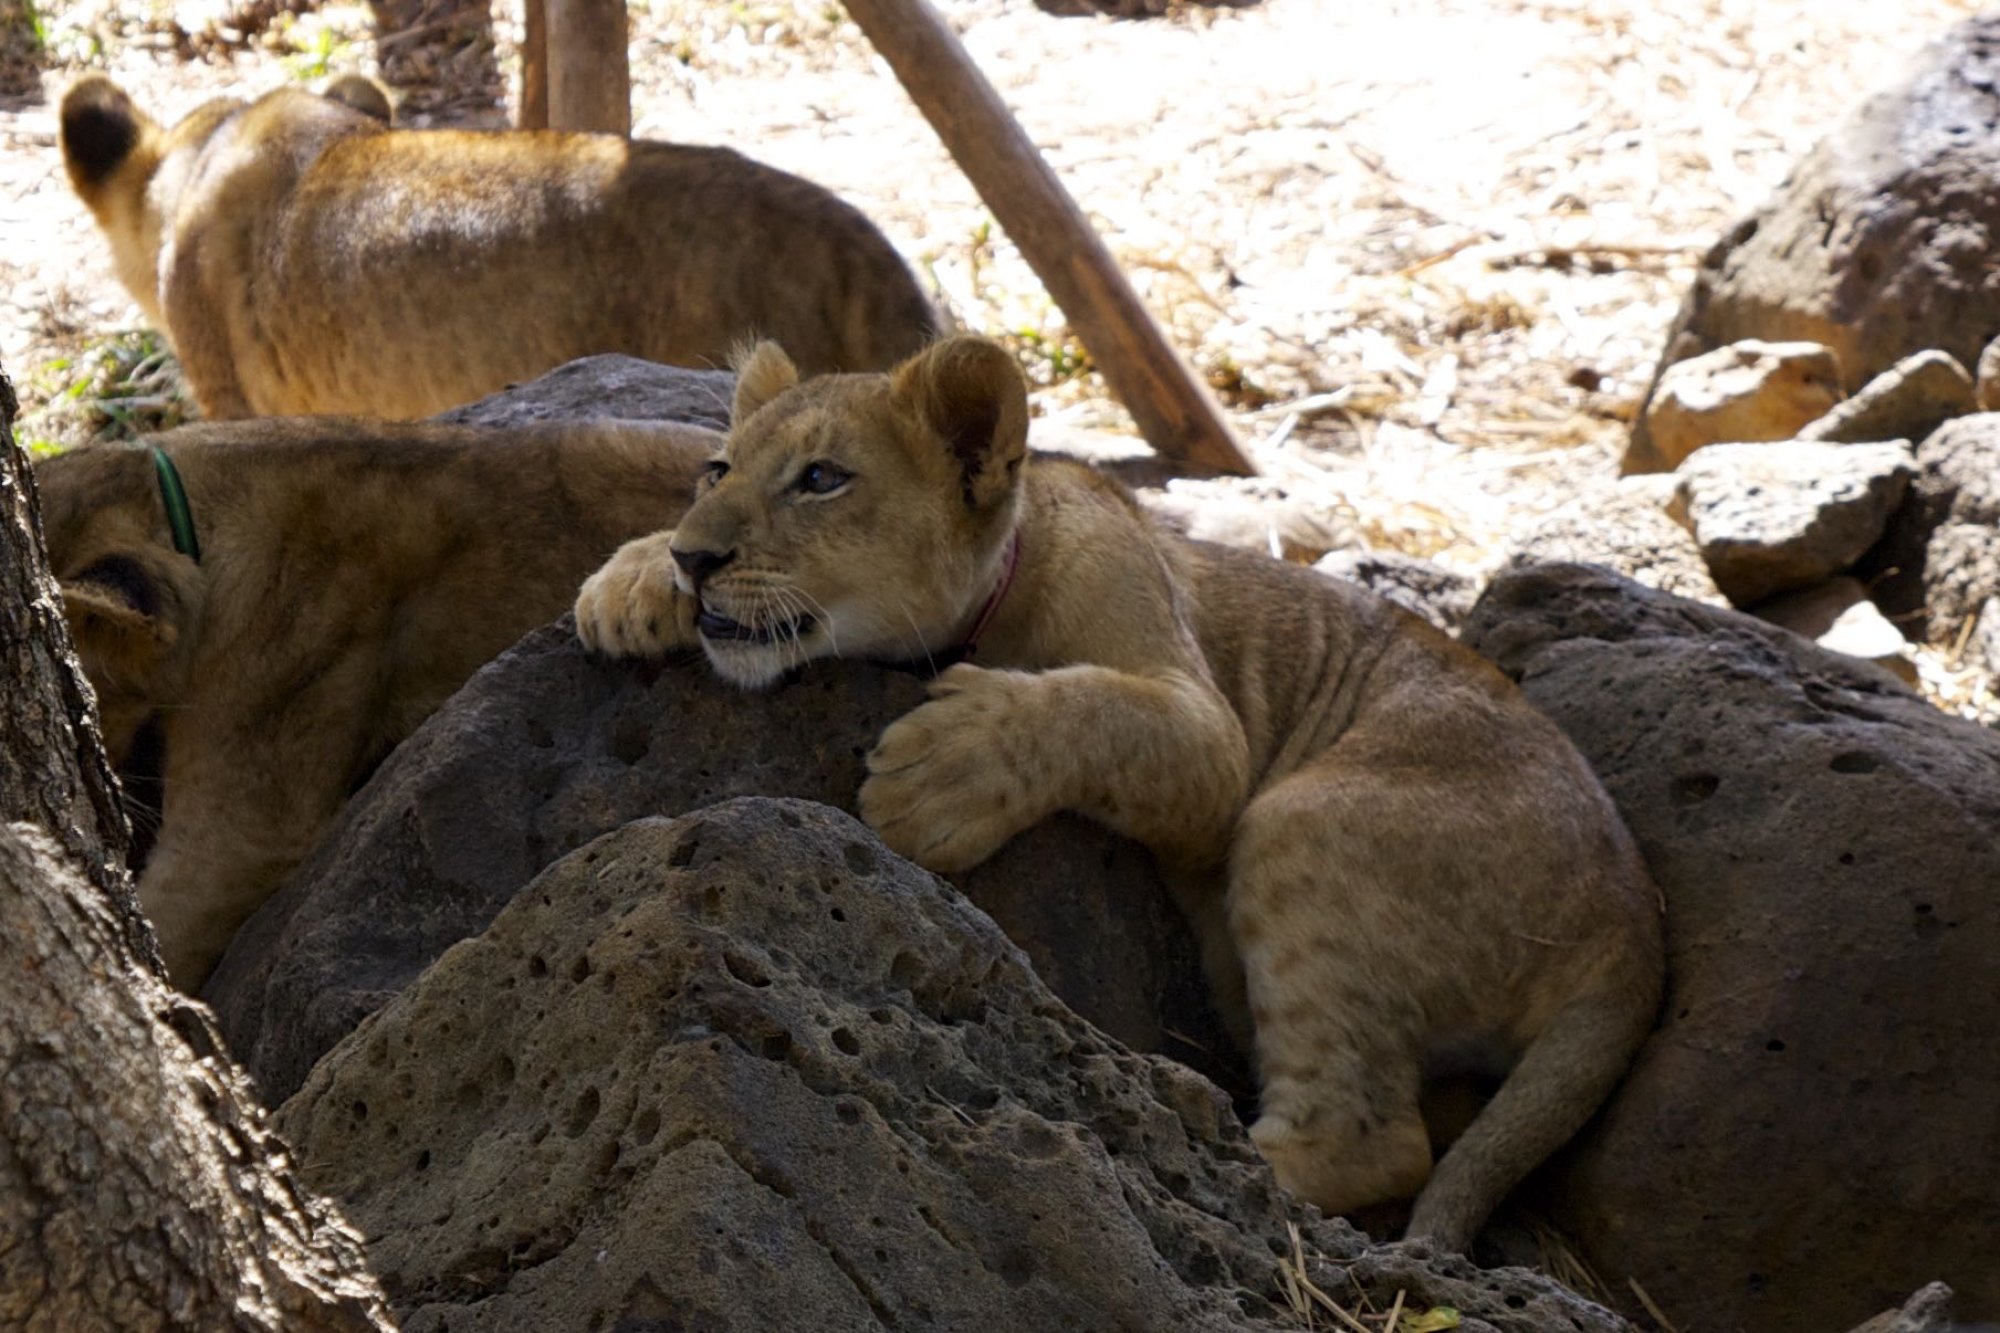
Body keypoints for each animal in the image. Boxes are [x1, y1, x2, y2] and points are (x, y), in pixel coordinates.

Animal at [573, 335, 1666, 1250]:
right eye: (717, 469)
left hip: (1302, 818)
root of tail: (1633, 921)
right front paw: (627, 583)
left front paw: (942, 771)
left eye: (820, 479)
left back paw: (1182, 1159)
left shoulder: (1212, 740)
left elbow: (1094, 708)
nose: (696, 557)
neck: (993, 608)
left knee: (1380, 1144)